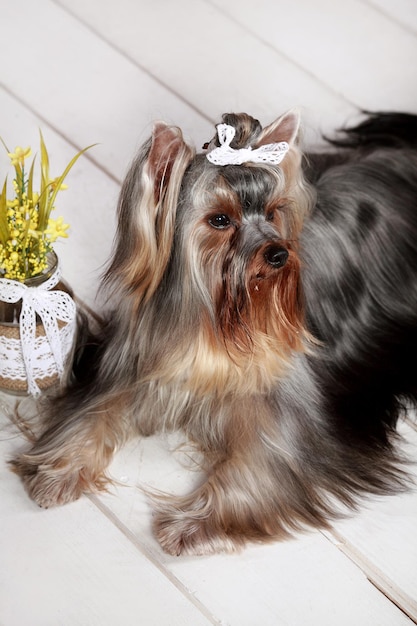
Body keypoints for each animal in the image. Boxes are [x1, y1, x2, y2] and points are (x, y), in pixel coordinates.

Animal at [11, 109, 416, 552]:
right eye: (220, 220)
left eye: (273, 212)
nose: (279, 253)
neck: (216, 324)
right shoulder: (133, 367)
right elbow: (93, 413)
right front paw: (58, 472)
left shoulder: (287, 416)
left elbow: (261, 464)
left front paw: (189, 524)